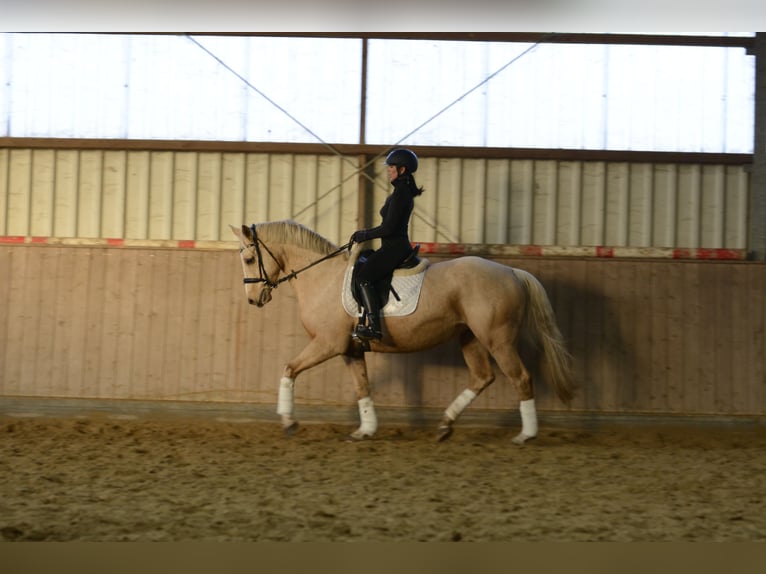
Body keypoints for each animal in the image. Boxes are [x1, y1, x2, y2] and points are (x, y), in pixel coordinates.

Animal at [231, 220, 574, 444]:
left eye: (249, 258)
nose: (253, 300)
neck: (322, 277)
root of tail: (512, 272)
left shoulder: (328, 343)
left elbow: (289, 369)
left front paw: (288, 421)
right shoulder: (351, 349)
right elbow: (363, 387)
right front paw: (366, 430)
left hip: (497, 339)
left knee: (521, 378)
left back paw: (526, 434)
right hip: (470, 336)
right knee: (482, 377)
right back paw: (444, 425)